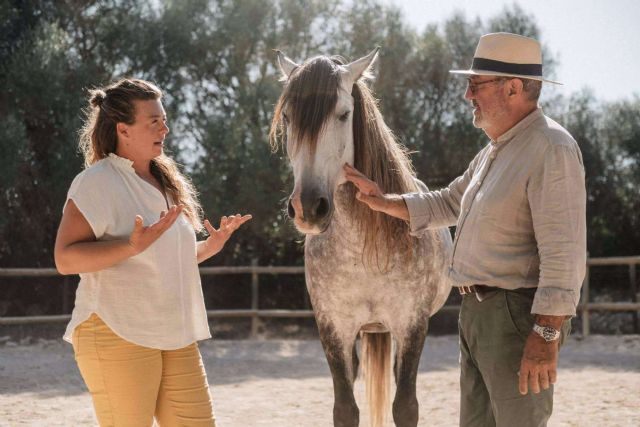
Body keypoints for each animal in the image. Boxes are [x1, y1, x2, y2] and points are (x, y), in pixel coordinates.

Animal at [270, 48, 456, 426]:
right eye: (288, 117)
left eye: (343, 114)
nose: (308, 207)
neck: (362, 252)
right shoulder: (333, 328)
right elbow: (345, 408)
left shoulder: (412, 326)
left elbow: (405, 406)